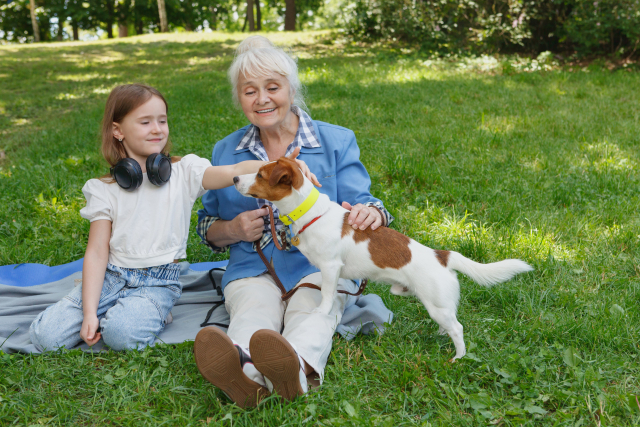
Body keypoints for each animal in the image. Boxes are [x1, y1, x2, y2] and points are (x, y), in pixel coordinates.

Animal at [232, 157, 532, 362]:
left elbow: (327, 295)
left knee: (457, 328)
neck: (310, 213)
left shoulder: (330, 267)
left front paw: (321, 310)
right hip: (427, 300)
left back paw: (458, 357)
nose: (234, 179)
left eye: (260, 174)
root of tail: (442, 255)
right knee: (449, 321)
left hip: (435, 303)